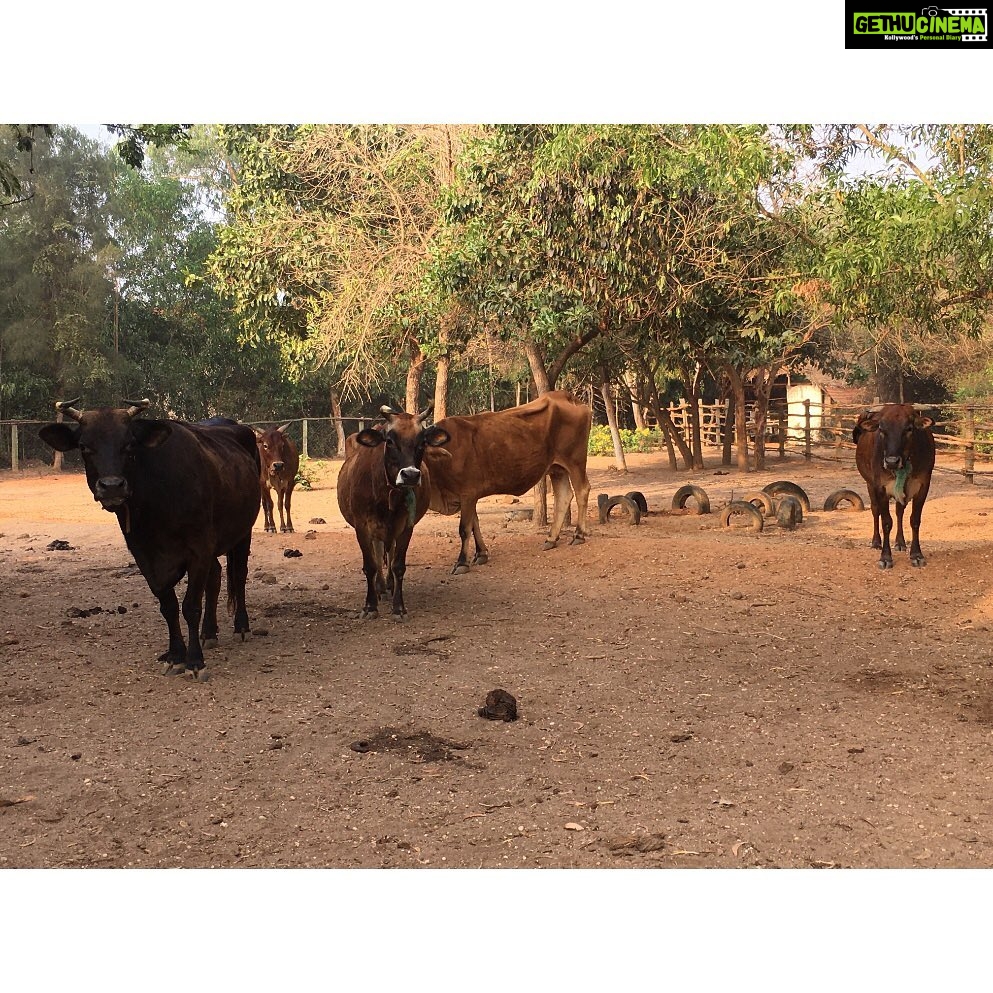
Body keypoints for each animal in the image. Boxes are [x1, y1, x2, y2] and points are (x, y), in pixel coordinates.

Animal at [40, 400, 262, 680]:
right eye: (83, 446)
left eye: (129, 444)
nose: (112, 486)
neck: (155, 504)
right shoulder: (145, 557)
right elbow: (168, 607)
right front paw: (176, 656)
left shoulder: (198, 549)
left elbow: (190, 606)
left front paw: (195, 661)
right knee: (215, 577)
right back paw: (209, 632)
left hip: (243, 532)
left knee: (239, 575)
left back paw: (241, 626)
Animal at [340, 406, 452, 616]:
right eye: (390, 441)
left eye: (422, 441)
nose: (410, 475)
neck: (386, 494)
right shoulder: (362, 527)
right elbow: (370, 565)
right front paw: (370, 605)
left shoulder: (405, 527)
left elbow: (398, 565)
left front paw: (398, 606)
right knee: (378, 555)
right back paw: (380, 586)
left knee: (389, 554)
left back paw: (389, 585)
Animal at [424, 390, 592, 572]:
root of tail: (570, 397)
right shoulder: (469, 496)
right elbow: (475, 524)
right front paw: (481, 553)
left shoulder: (467, 494)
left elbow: (465, 528)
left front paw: (462, 562)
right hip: (557, 468)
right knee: (564, 496)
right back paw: (551, 539)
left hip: (575, 462)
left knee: (582, 490)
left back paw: (578, 535)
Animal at [852, 404, 936, 568]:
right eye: (881, 429)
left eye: (909, 428)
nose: (891, 461)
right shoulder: (880, 487)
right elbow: (886, 522)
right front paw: (885, 557)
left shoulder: (923, 486)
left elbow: (914, 520)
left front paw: (916, 555)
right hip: (870, 485)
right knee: (875, 510)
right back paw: (876, 542)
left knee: (899, 512)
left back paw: (900, 542)